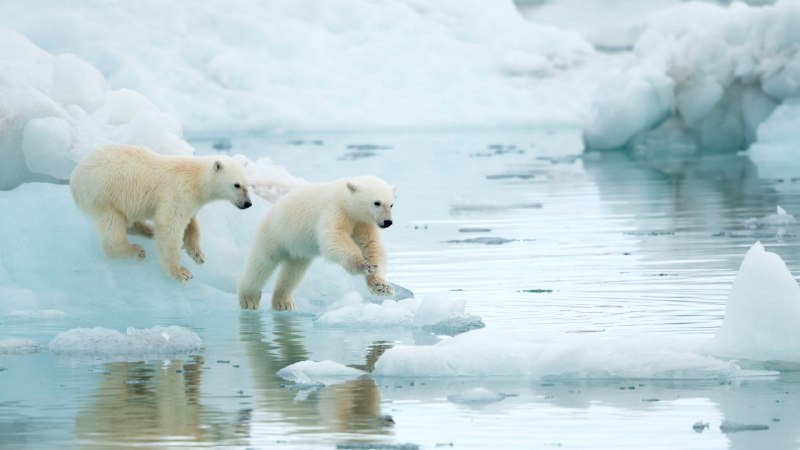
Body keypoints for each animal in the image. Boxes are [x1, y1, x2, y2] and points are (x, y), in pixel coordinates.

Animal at [70, 144, 252, 281]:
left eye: (247, 184)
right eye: (236, 185)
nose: (248, 204)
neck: (197, 179)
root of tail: (74, 177)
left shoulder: (191, 200)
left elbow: (192, 224)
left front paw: (198, 254)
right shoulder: (178, 191)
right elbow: (170, 225)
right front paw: (181, 272)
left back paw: (149, 231)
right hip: (104, 195)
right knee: (112, 224)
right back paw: (135, 250)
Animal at [238, 175, 396, 310]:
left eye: (391, 204)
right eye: (377, 203)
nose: (388, 222)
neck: (346, 200)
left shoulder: (363, 222)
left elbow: (371, 245)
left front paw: (382, 287)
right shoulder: (335, 210)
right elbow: (333, 237)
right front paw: (362, 265)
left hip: (298, 250)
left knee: (293, 272)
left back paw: (283, 302)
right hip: (273, 233)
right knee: (261, 264)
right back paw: (249, 299)